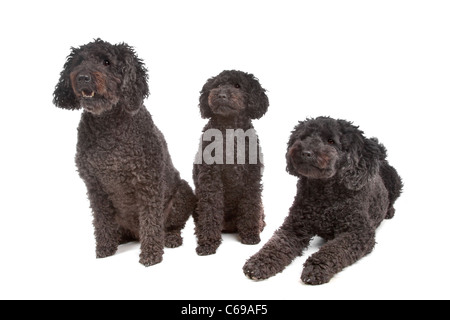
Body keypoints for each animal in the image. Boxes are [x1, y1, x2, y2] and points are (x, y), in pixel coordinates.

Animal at [51, 38, 196, 266]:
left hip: (182, 193)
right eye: (79, 62)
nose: (83, 77)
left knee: (170, 226)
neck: (108, 126)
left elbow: (151, 222)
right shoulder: (95, 187)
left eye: (107, 62)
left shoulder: (147, 183)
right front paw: (104, 250)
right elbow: (102, 223)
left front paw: (151, 255)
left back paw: (170, 238)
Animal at [192, 69, 268, 255]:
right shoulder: (210, 179)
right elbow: (210, 209)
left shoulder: (251, 179)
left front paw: (250, 235)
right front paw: (207, 243)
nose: (221, 95)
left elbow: (250, 206)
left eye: (237, 86)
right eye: (218, 85)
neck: (230, 130)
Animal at [244, 116, 402, 284]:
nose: (305, 153)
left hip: (395, 180)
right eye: (304, 137)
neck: (325, 195)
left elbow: (334, 250)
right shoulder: (294, 226)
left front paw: (316, 267)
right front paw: (259, 262)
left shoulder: (359, 232)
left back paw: (389, 211)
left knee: (392, 200)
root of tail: (380, 159)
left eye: (331, 141)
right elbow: (276, 245)